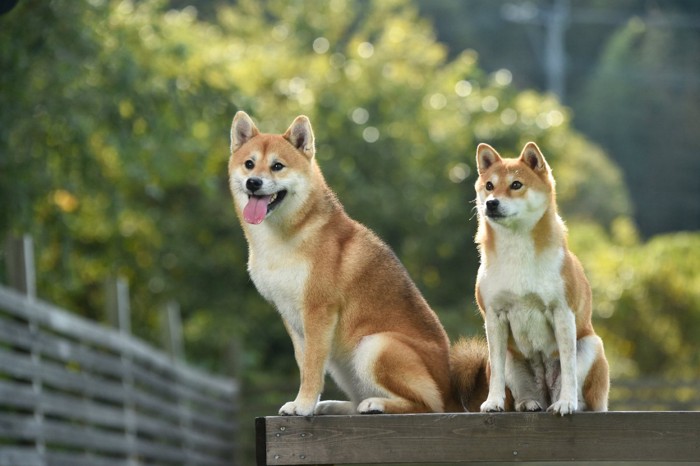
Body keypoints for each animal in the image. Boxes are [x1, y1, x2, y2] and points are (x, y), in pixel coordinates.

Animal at [228, 112, 476, 416]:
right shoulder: (291, 316)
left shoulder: (318, 311)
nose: (254, 182)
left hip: (375, 346)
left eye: (277, 166)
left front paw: (304, 405)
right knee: (359, 398)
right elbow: (305, 364)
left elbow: (312, 368)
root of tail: (453, 394)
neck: (284, 238)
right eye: (249, 164)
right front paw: (305, 403)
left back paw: (377, 403)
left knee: (429, 405)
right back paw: (335, 406)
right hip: (344, 363)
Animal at [474, 142, 608, 416]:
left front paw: (566, 403)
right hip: (512, 359)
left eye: (516, 184)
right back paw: (529, 403)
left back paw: (569, 403)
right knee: (520, 391)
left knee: (579, 389)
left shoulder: (562, 312)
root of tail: (545, 393)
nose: (491, 203)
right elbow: (496, 376)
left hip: (591, 345)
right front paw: (493, 402)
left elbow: (568, 367)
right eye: (489, 185)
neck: (517, 251)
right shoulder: (494, 316)